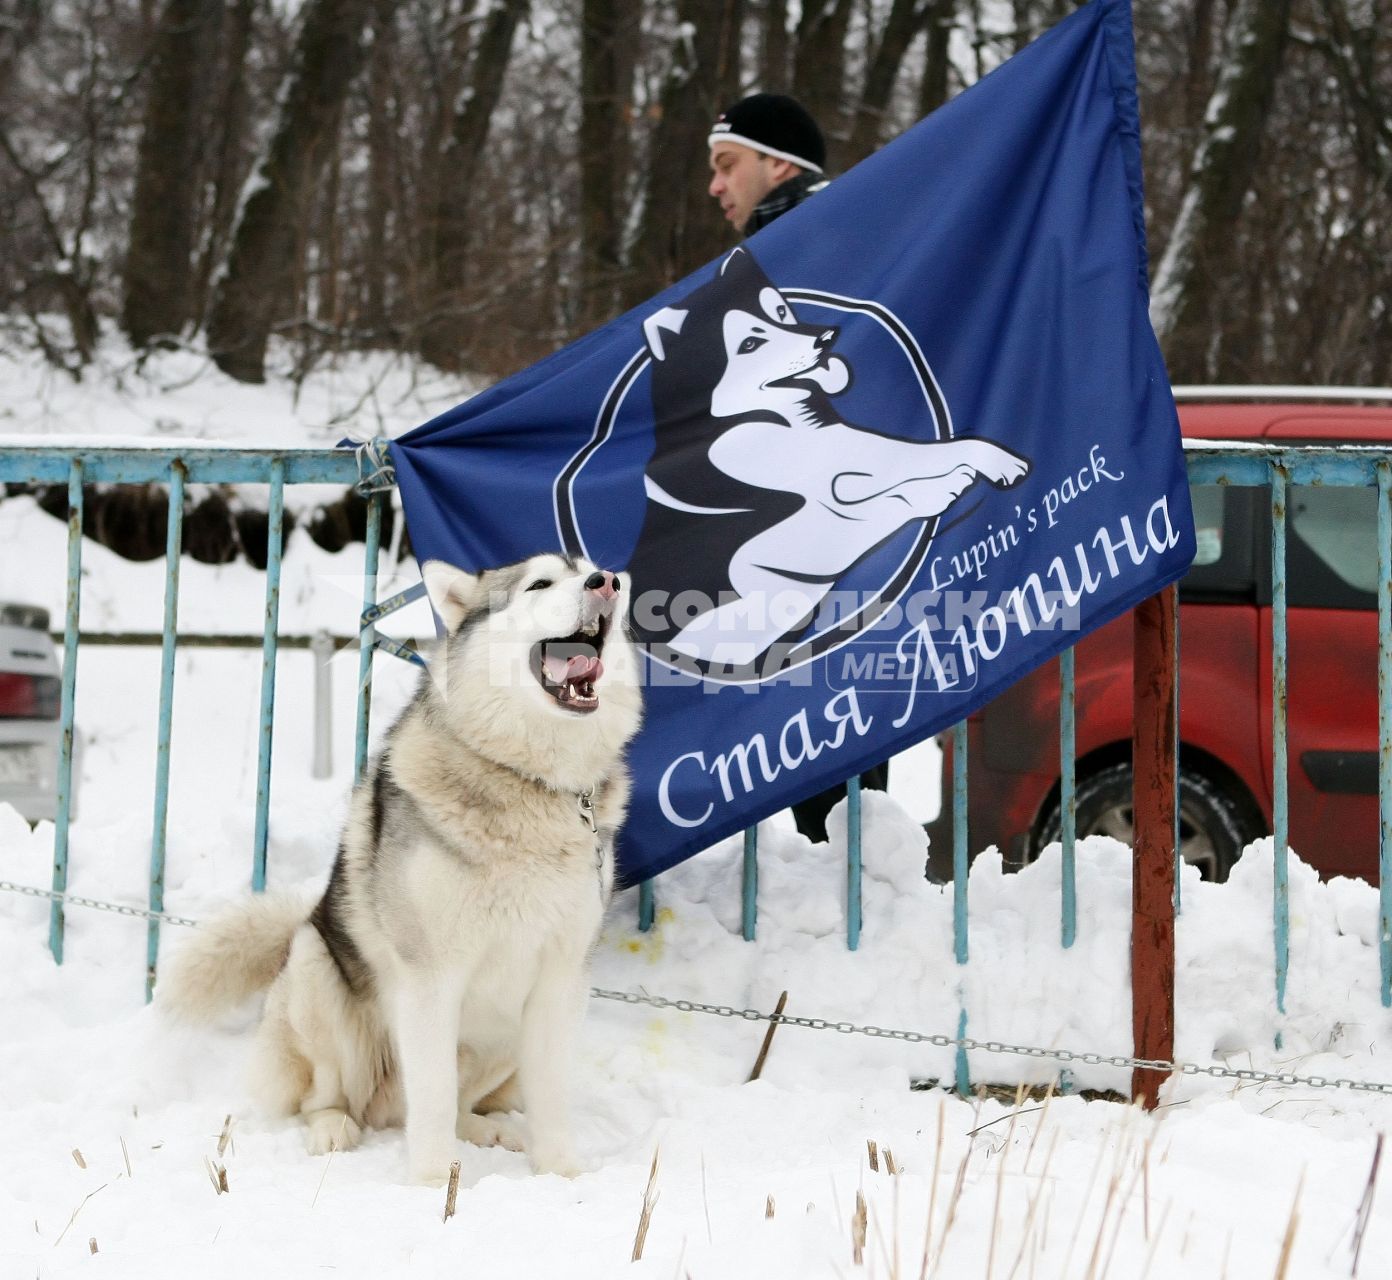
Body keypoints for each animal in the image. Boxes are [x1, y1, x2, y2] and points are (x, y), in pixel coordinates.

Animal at [157, 553, 640, 1185]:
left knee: (455, 1102)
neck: (534, 783)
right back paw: (334, 1128)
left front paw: (563, 1177)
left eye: (594, 569)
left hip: (500, 1034)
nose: (607, 582)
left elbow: (550, 1099)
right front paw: (433, 1184)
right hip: (316, 971)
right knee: (337, 1096)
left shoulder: (561, 979)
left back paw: (487, 1130)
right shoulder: (430, 979)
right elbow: (430, 1098)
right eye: (539, 584)